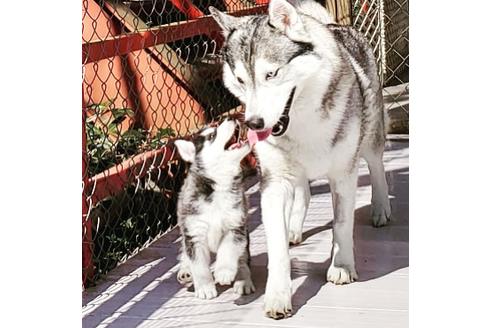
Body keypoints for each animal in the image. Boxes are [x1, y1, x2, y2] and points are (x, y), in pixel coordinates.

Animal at [175, 119, 256, 298]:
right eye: (212, 135)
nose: (231, 119)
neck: (218, 185)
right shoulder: (194, 232)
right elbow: (199, 265)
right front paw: (205, 287)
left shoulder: (235, 226)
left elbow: (228, 250)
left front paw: (224, 272)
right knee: (185, 251)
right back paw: (185, 270)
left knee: (242, 259)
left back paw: (243, 280)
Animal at [210, 0, 392, 320]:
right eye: (241, 80)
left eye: (271, 74)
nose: (254, 124)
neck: (302, 121)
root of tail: (334, 25)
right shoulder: (274, 183)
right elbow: (277, 247)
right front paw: (278, 295)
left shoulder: (344, 175)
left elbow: (341, 223)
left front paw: (341, 266)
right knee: (303, 191)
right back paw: (294, 226)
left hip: (370, 138)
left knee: (376, 166)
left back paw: (381, 209)